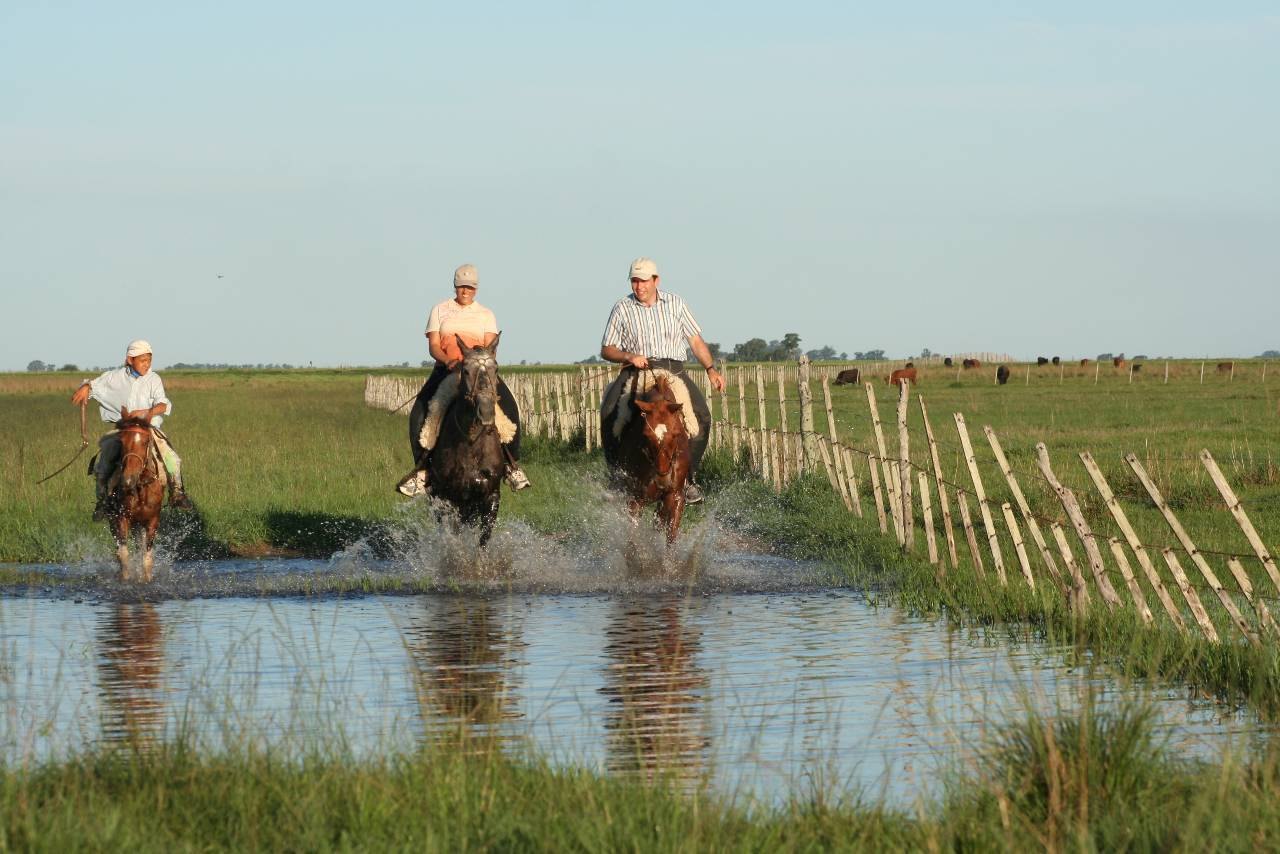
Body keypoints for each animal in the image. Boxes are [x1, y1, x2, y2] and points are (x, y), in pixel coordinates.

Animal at [106, 409, 166, 583]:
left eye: (146, 442)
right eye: (122, 441)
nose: (128, 479)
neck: (140, 489)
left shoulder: (152, 521)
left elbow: (147, 557)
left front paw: (146, 579)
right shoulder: (121, 519)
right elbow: (123, 555)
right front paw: (125, 579)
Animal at [432, 335, 506, 547]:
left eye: (496, 369)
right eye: (465, 370)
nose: (486, 412)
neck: (472, 441)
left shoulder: (491, 495)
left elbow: (483, 539)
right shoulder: (450, 498)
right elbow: (455, 536)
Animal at [606, 371, 691, 545]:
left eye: (676, 434)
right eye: (646, 434)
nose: (663, 479)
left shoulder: (675, 496)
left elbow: (670, 535)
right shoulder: (635, 499)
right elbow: (633, 539)